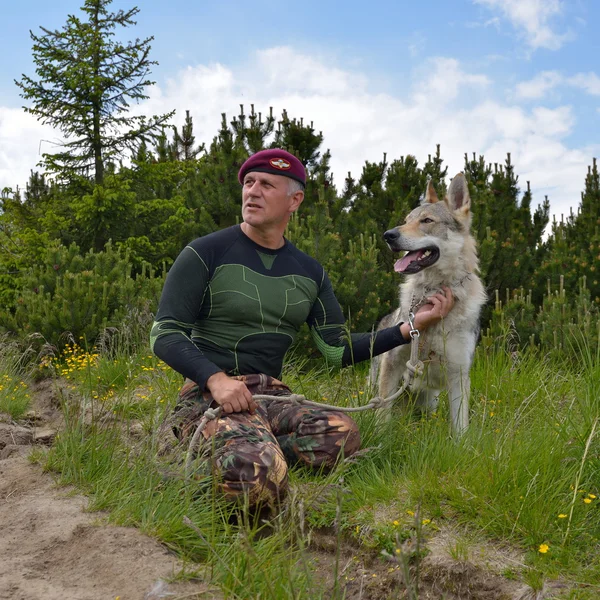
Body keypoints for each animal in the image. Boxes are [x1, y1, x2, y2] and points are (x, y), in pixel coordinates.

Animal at [372, 173, 486, 436]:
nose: (388, 235)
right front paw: (379, 437)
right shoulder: (392, 363)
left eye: (427, 220)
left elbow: (460, 428)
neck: (433, 290)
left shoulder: (458, 375)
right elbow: (382, 413)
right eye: (406, 221)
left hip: (429, 402)